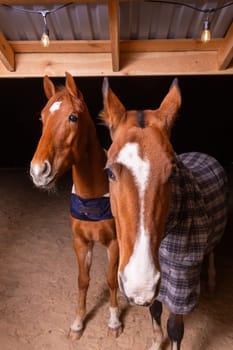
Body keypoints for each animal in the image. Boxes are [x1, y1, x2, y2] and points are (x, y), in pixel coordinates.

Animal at [29, 73, 122, 340]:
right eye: (42, 118)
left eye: (73, 117)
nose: (38, 171)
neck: (92, 195)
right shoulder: (81, 242)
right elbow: (82, 280)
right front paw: (78, 323)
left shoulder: (114, 243)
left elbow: (111, 280)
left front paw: (114, 322)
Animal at [100, 78, 228, 350]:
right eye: (110, 172)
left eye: (172, 172)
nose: (139, 285)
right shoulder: (159, 284)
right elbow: (155, 310)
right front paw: (156, 341)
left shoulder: (181, 283)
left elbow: (175, 328)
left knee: (212, 250)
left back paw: (212, 280)